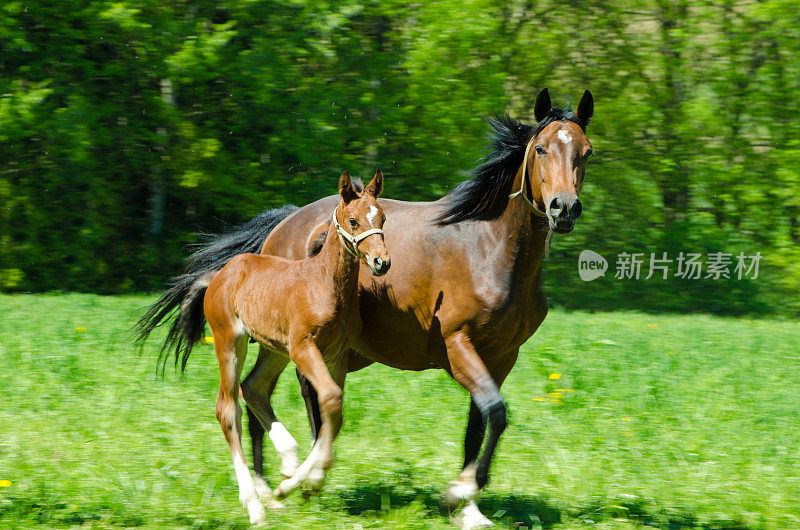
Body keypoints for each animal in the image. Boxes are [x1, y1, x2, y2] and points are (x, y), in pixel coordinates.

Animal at [202, 171, 390, 520]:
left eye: (382, 218)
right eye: (353, 220)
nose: (381, 262)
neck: (325, 284)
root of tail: (222, 273)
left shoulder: (337, 355)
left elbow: (334, 411)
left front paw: (299, 483)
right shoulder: (304, 348)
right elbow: (329, 400)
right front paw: (303, 483)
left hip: (274, 349)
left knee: (253, 388)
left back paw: (286, 463)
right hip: (230, 341)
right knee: (228, 409)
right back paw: (253, 504)